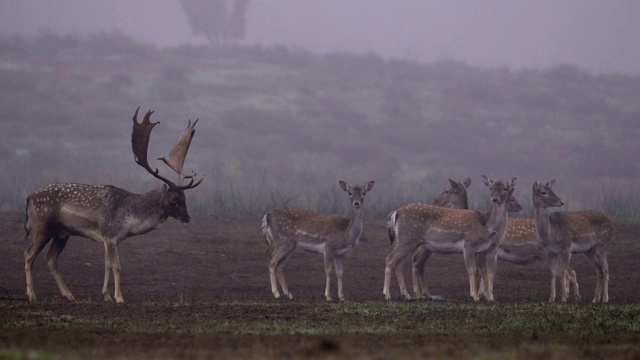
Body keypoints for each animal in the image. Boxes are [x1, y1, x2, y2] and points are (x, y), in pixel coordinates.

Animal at [23, 107, 202, 304]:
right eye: (173, 199)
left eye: (184, 197)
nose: (187, 218)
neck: (130, 220)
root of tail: (29, 198)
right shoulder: (109, 235)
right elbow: (116, 266)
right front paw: (119, 298)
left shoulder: (111, 239)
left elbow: (107, 265)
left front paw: (106, 295)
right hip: (42, 227)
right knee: (28, 254)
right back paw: (32, 295)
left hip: (62, 233)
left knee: (50, 258)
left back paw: (69, 295)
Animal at [384, 176, 516, 302]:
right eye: (491, 188)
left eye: (505, 188)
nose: (495, 199)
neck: (487, 226)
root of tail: (395, 212)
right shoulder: (468, 245)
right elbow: (472, 270)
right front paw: (475, 296)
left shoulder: (483, 250)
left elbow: (484, 272)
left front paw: (489, 298)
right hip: (407, 239)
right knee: (390, 259)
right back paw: (387, 295)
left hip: (408, 241)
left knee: (399, 263)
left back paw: (406, 295)